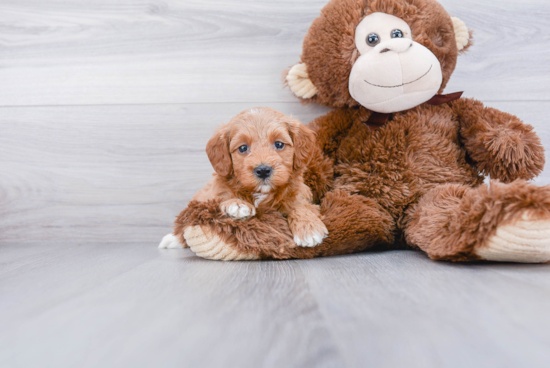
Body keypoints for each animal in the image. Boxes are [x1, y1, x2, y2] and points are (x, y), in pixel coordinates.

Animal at [162, 108, 330, 249]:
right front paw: (237, 203)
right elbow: (224, 195)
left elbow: (301, 206)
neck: (261, 194)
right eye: (243, 148)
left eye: (279, 144)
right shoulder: (214, 193)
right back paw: (172, 239)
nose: (263, 170)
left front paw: (309, 228)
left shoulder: (300, 195)